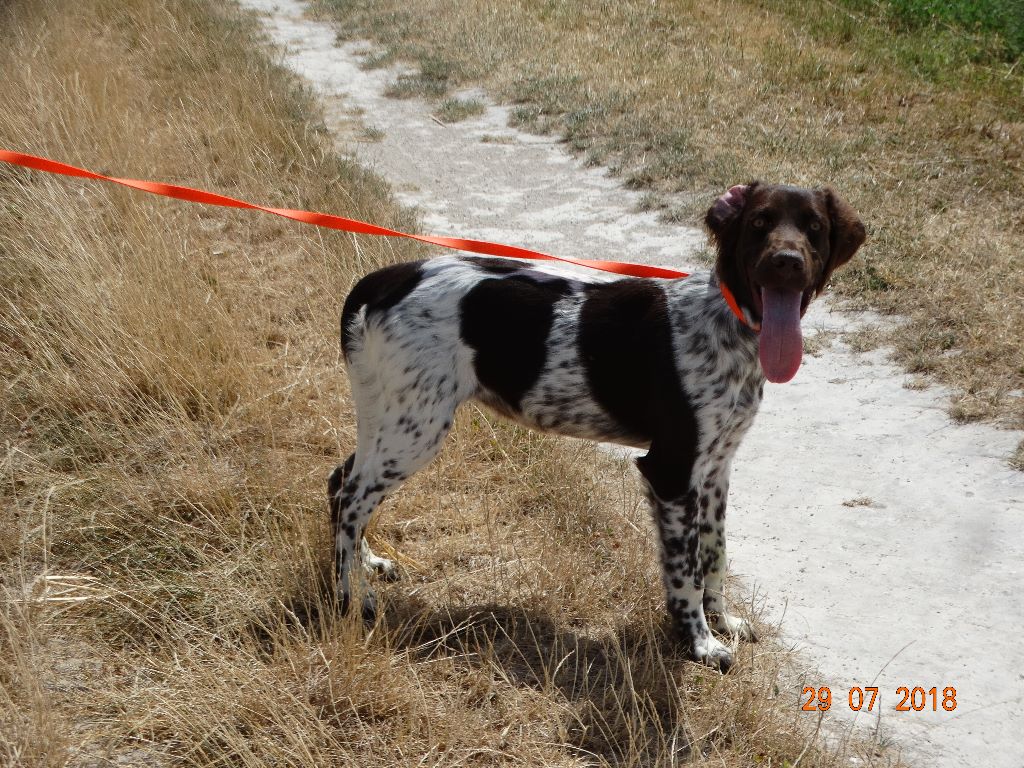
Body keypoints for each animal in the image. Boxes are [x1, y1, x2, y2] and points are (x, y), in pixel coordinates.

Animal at [328, 182, 865, 670]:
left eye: (814, 227)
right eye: (759, 222)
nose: (787, 262)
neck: (730, 323)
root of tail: (383, 280)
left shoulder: (716, 467)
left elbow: (715, 552)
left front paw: (723, 622)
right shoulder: (671, 471)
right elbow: (686, 571)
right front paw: (699, 643)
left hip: (388, 416)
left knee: (340, 482)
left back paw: (367, 564)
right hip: (415, 427)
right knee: (351, 500)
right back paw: (350, 597)